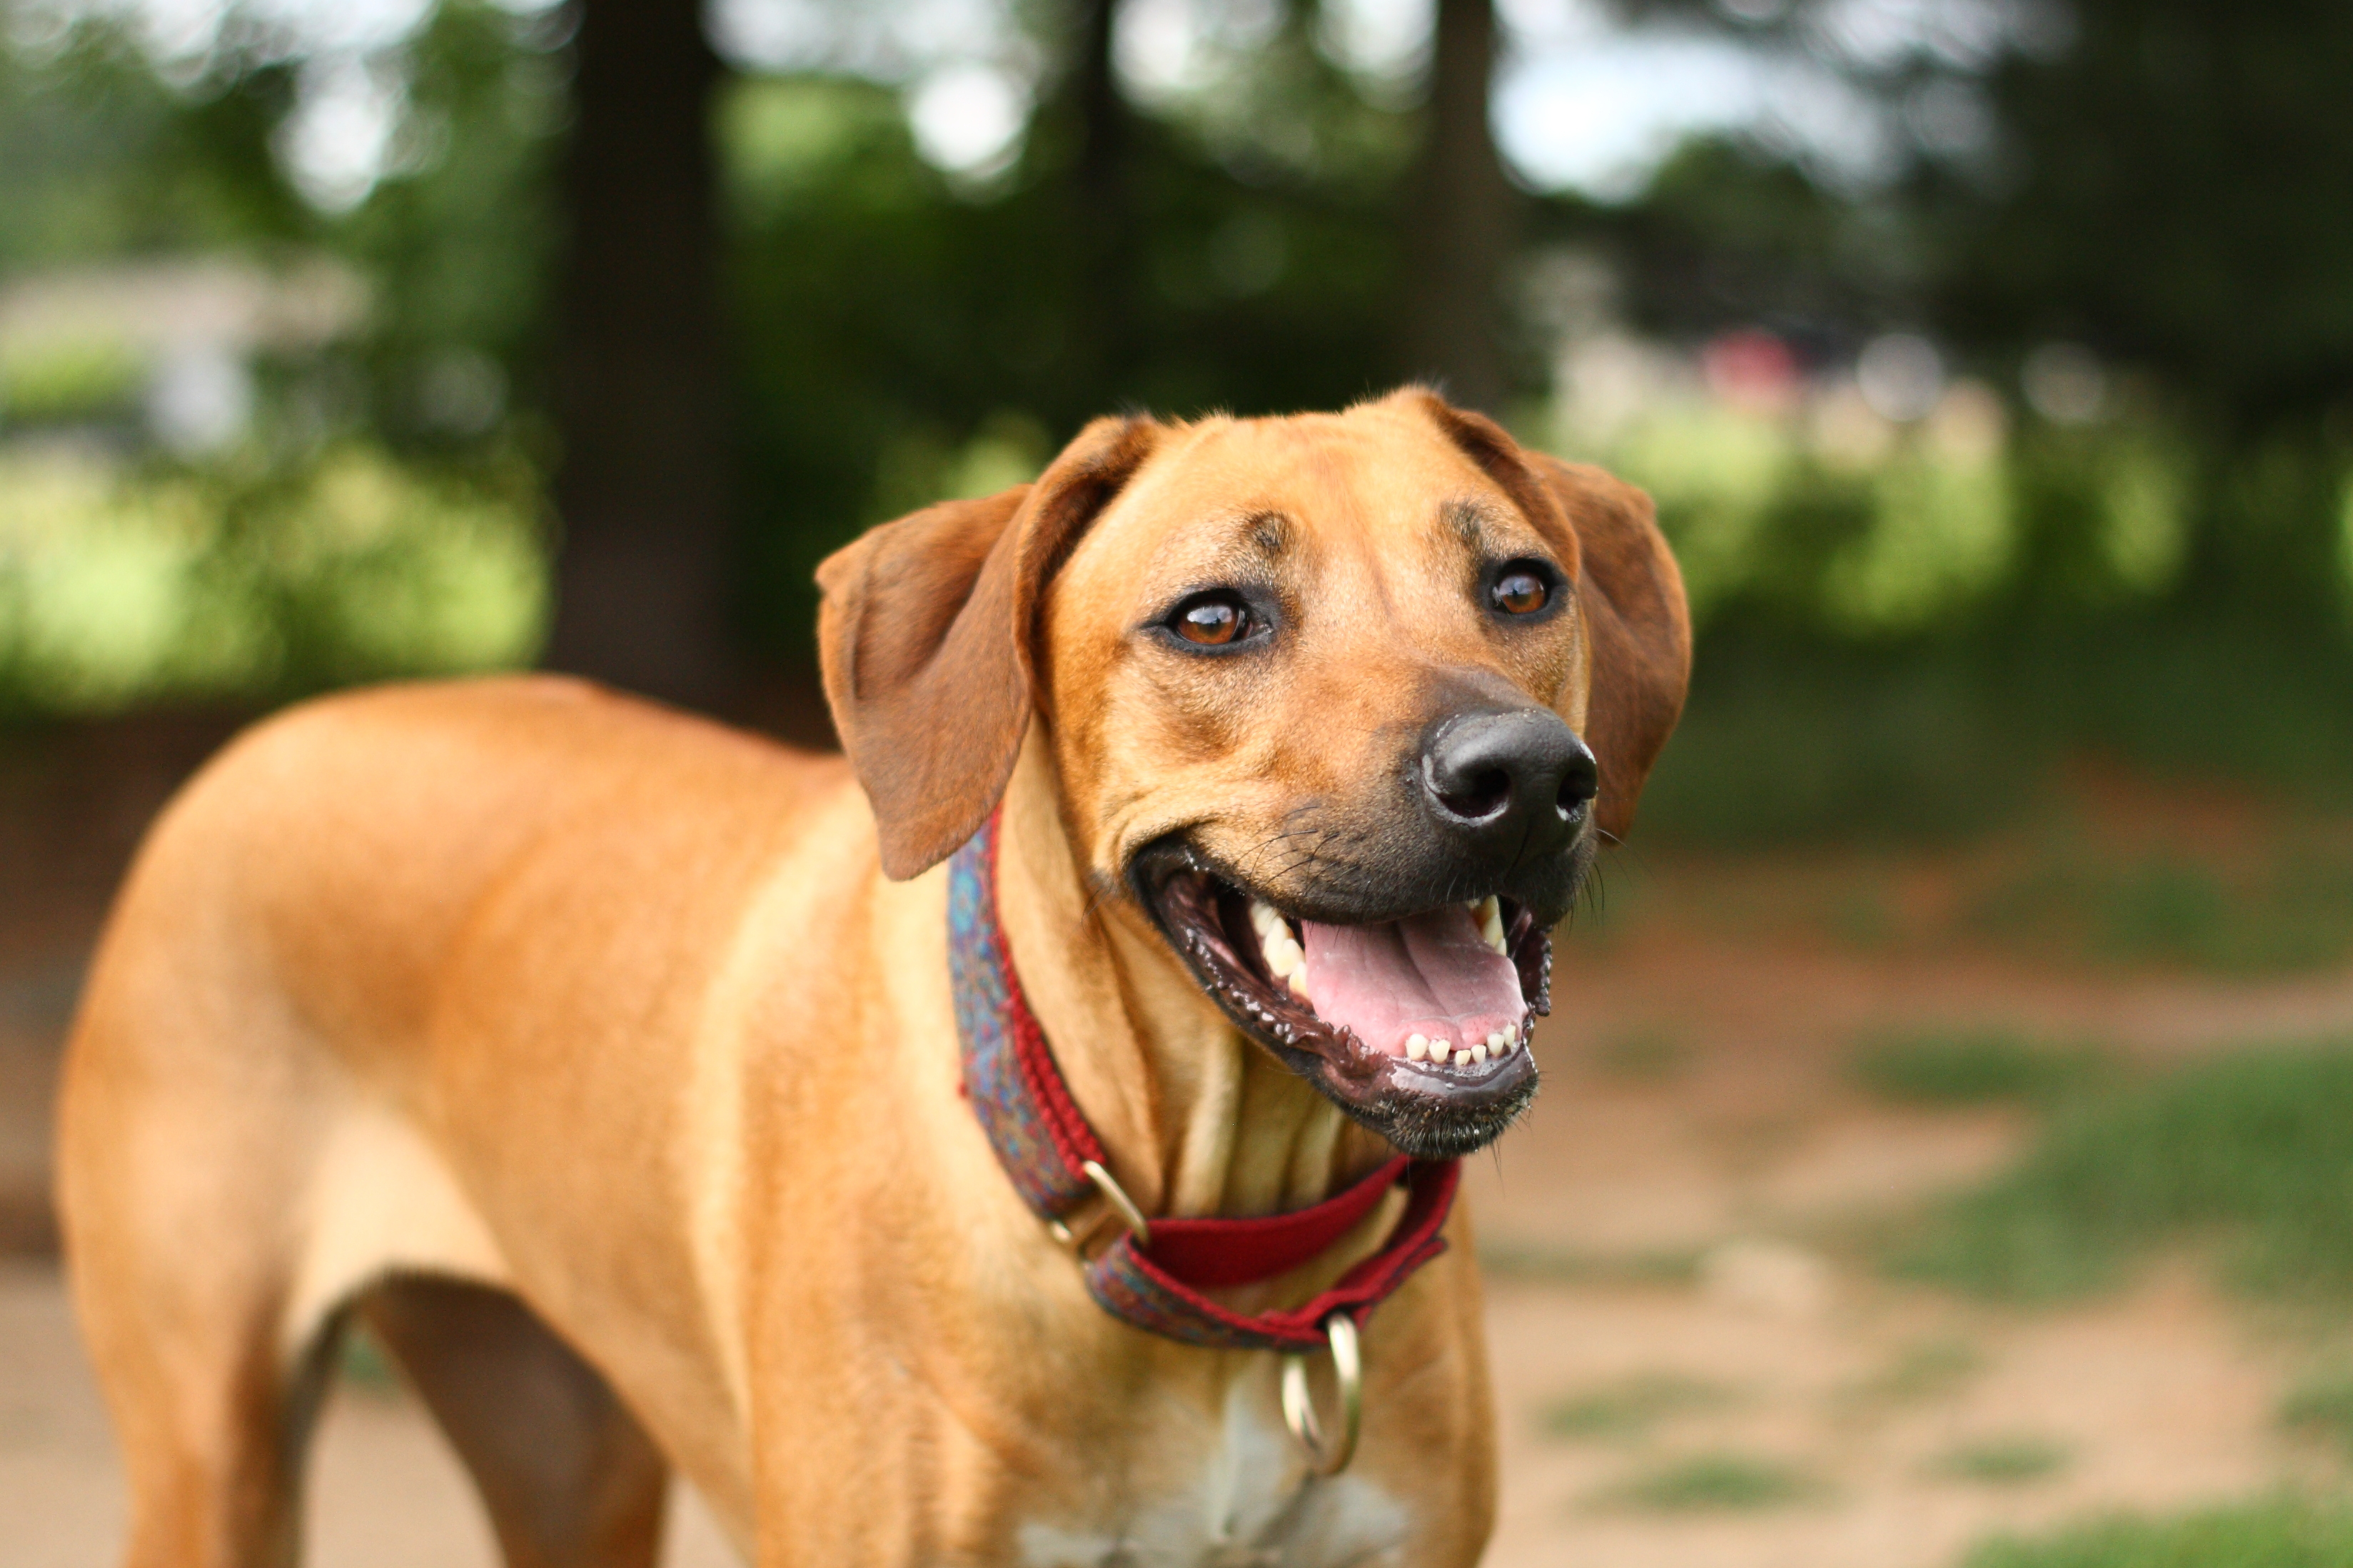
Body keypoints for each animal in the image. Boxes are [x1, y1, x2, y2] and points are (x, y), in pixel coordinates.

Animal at [55, 385, 1694, 1561]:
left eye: (1522, 587)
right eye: (1215, 615)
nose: (1526, 775)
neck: (1199, 1241)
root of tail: (263, 741)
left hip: (570, 1447)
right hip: (212, 1453)